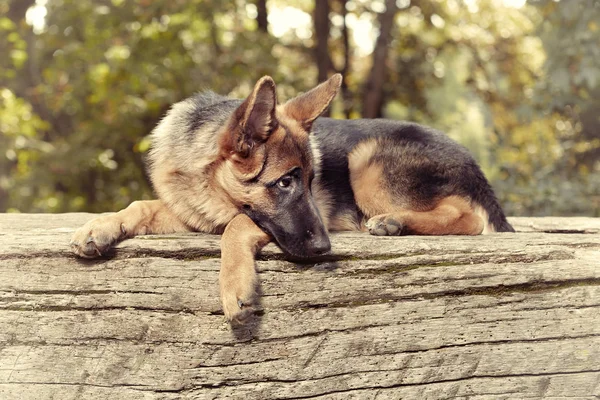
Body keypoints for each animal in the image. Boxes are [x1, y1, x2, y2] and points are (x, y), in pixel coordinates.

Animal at [69, 74, 510, 322]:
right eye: (284, 183)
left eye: (312, 180)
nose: (325, 247)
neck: (208, 181)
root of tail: (469, 158)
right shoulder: (190, 212)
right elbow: (140, 205)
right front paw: (99, 226)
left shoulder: (245, 219)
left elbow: (238, 222)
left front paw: (235, 283)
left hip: (366, 162)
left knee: (469, 217)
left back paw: (394, 221)